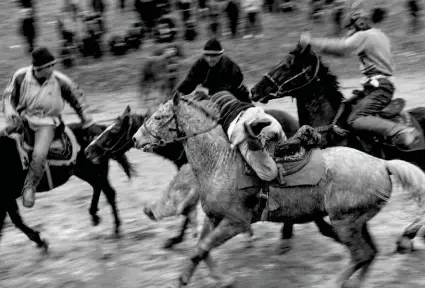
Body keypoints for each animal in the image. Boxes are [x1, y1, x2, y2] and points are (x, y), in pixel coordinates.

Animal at [0, 121, 134, 250]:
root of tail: (101, 129)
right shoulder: (7, 200)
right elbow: (11, 221)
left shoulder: (6, 199)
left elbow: (15, 221)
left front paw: (40, 241)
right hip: (88, 174)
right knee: (99, 189)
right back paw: (95, 216)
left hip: (95, 173)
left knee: (109, 193)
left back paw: (116, 228)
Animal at [132, 93, 424, 286]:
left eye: (158, 116)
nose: (135, 138)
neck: (219, 163)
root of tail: (383, 164)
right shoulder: (213, 217)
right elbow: (201, 249)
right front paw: (211, 277)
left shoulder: (235, 222)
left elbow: (201, 248)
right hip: (356, 222)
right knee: (369, 254)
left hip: (345, 221)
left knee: (361, 254)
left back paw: (334, 282)